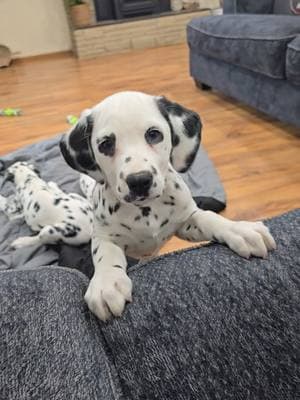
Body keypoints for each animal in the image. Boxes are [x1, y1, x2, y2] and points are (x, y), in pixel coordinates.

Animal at [60, 91, 276, 322]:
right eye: (105, 144)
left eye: (154, 134)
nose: (139, 181)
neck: (145, 211)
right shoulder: (104, 235)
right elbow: (105, 253)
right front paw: (107, 282)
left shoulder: (187, 220)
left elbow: (209, 218)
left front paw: (239, 230)